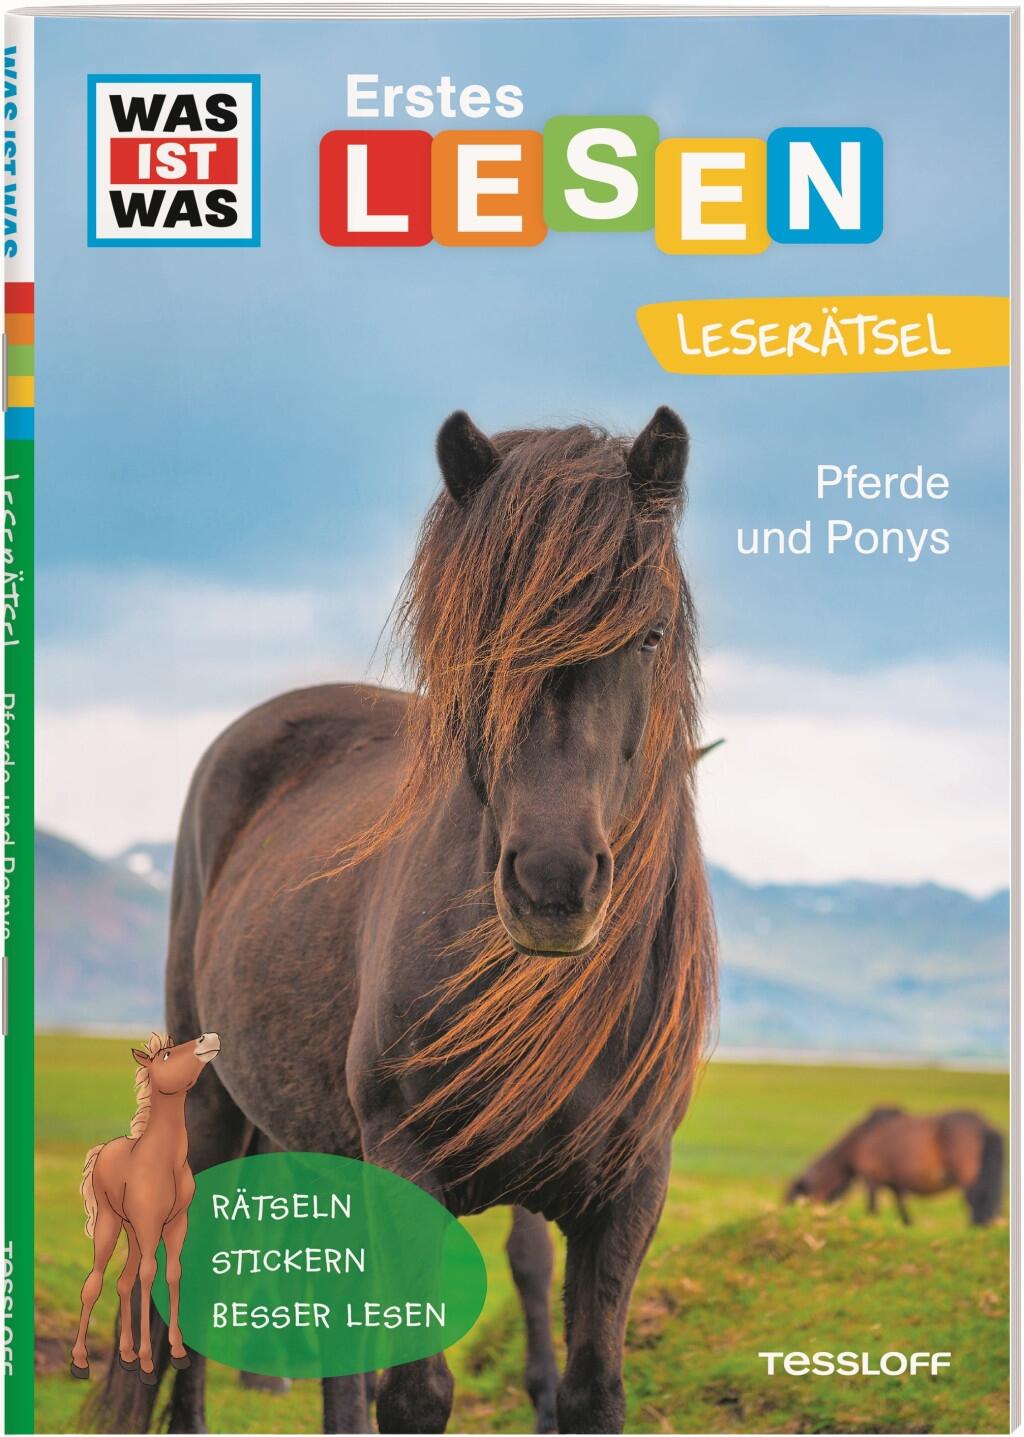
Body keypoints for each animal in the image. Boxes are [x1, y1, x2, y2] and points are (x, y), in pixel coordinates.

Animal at [71, 1032, 221, 1385]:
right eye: (165, 1055)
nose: (208, 1037)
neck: (164, 1161)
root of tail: (103, 1149)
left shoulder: (177, 1224)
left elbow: (172, 1273)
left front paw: (177, 1353)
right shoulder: (150, 1225)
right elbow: (148, 1276)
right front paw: (149, 1364)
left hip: (132, 1230)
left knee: (123, 1283)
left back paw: (127, 1357)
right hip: (112, 1224)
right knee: (94, 1283)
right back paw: (80, 1362)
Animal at [90, 407, 716, 1435]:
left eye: (651, 633)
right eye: (479, 639)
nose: (552, 881)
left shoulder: (629, 1189)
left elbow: (592, 1386)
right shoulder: (407, 1165)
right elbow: (417, 1392)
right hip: (211, 1104)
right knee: (166, 1304)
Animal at [786, 1106, 1004, 1227]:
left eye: (795, 1199)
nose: (793, 1217)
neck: (860, 1140)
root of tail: (985, 1125)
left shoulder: (871, 1179)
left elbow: (872, 1209)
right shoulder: (896, 1184)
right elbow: (904, 1212)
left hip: (967, 1175)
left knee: (975, 1201)